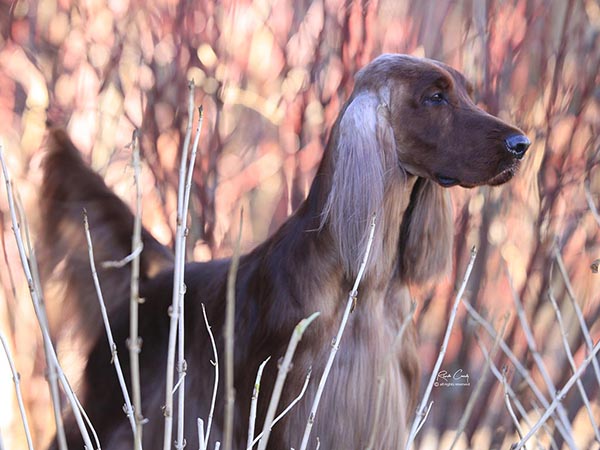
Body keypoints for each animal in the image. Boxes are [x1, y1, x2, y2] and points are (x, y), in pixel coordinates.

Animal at [41, 54, 528, 448]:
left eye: (467, 93)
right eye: (434, 97)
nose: (521, 145)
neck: (363, 284)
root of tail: (152, 280)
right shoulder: (282, 407)